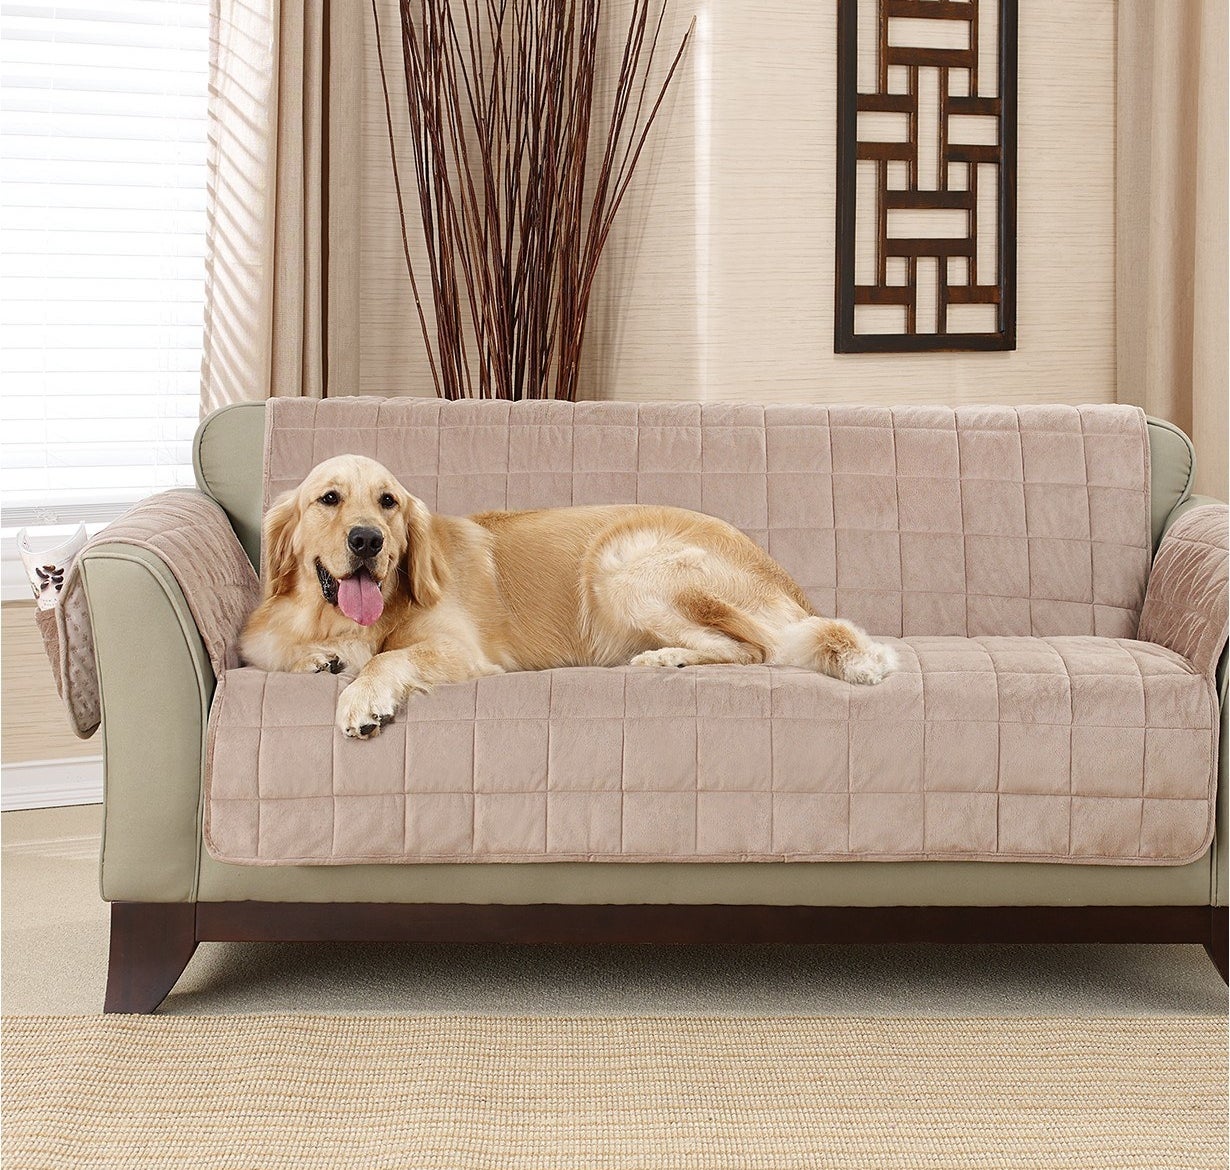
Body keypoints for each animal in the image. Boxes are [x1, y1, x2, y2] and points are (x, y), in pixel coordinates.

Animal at [237, 452, 895, 738]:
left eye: (388, 501)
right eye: (328, 499)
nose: (368, 540)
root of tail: (784, 579)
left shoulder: (460, 651)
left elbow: (387, 658)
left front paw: (361, 698)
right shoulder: (263, 641)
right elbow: (279, 652)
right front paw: (322, 660)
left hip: (621, 564)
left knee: (759, 648)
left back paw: (668, 656)